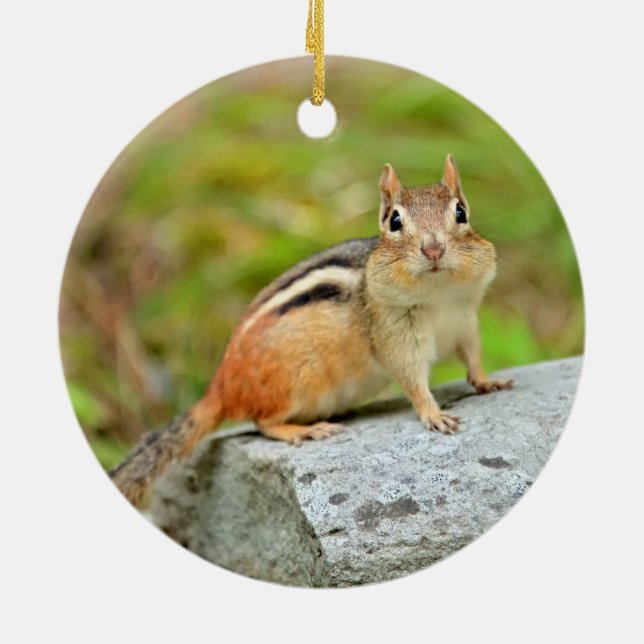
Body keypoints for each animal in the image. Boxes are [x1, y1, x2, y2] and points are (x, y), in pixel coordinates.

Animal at [109, 154, 513, 508]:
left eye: (460, 212)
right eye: (394, 221)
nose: (433, 249)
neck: (437, 296)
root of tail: (220, 386)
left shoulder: (465, 319)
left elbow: (472, 355)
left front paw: (488, 381)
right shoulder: (395, 335)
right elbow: (412, 379)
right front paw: (433, 414)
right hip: (295, 384)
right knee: (263, 422)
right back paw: (303, 430)